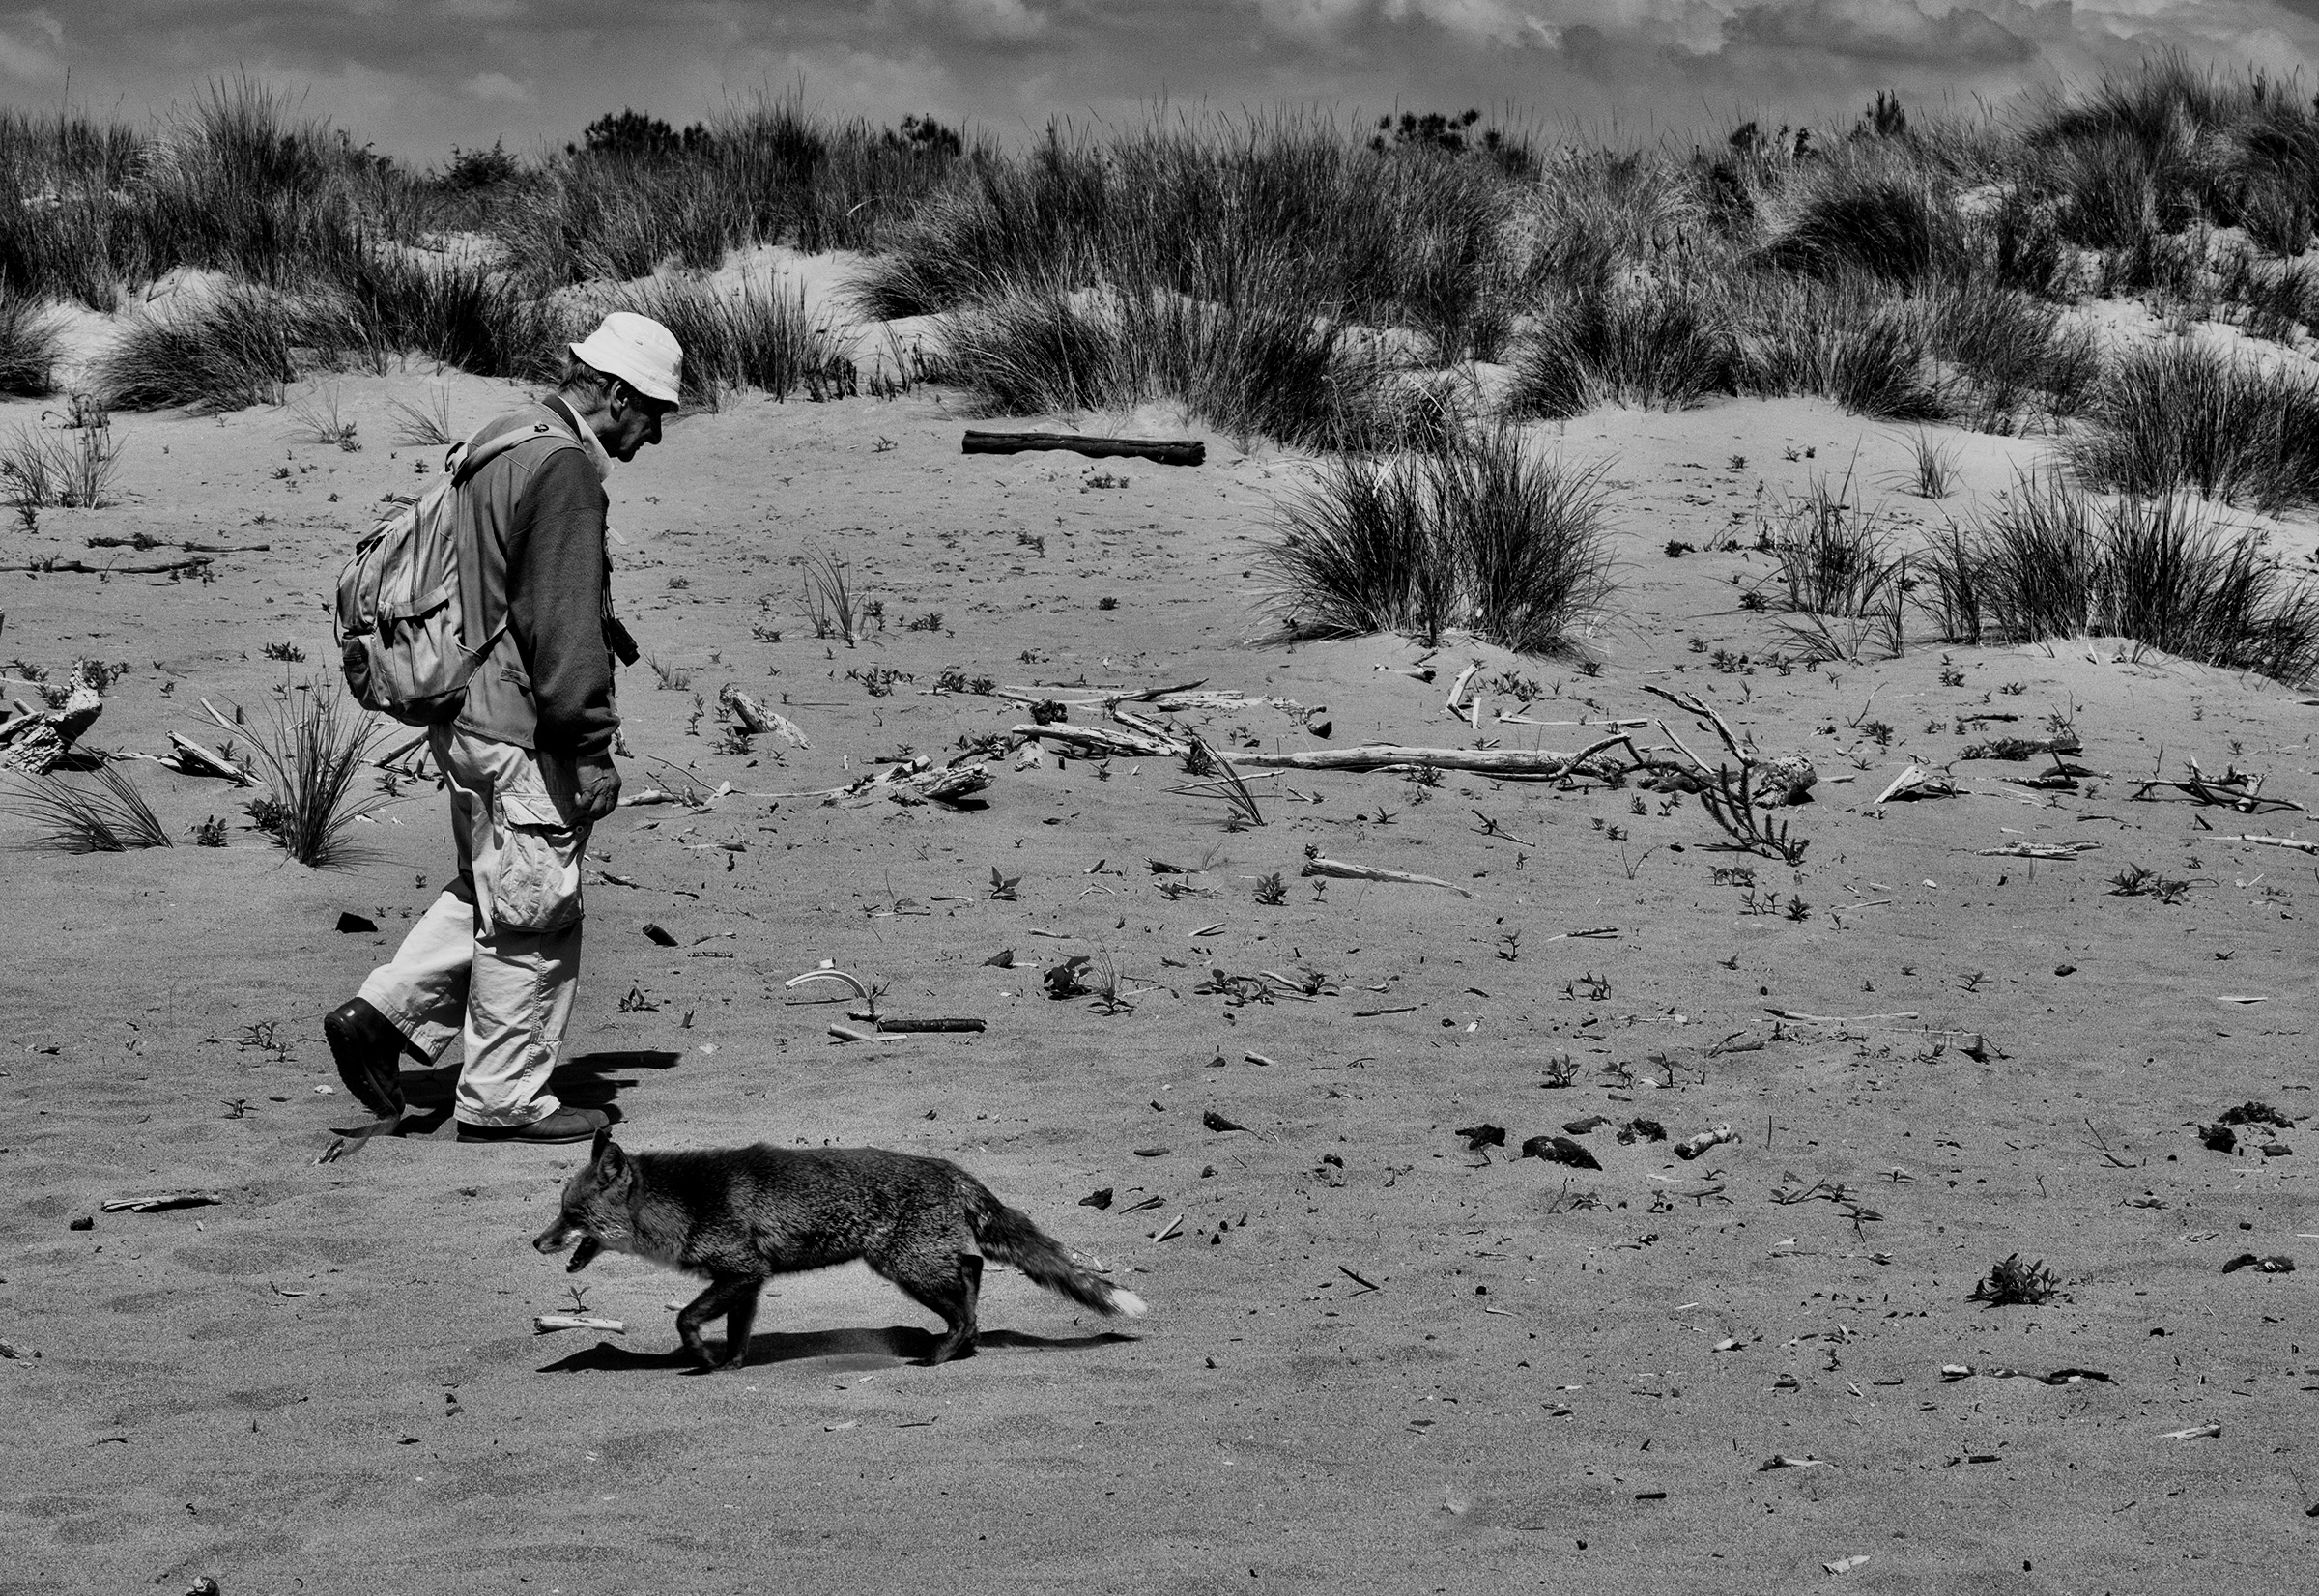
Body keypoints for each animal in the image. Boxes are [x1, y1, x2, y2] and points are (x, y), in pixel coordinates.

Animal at [526, 1126, 1140, 1363]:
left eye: (572, 1215)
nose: (535, 1242)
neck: (688, 1204)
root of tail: (949, 1167)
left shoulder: (739, 1270)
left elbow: (685, 1319)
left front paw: (700, 1358)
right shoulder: (749, 1280)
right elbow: (738, 1332)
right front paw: (729, 1365)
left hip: (906, 1266)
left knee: (965, 1294)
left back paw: (943, 1353)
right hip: (920, 1261)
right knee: (971, 1270)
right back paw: (962, 1343)